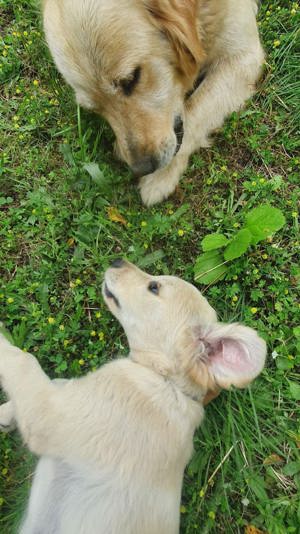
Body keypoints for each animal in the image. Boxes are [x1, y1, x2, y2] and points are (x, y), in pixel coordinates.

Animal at [0, 262, 266, 534]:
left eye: (154, 287)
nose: (117, 260)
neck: (165, 381)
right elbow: (56, 380)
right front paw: (5, 414)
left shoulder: (48, 415)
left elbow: (23, 360)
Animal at [42, 0, 264, 205]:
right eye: (94, 108)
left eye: (131, 79)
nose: (142, 168)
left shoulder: (243, 57)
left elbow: (195, 111)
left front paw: (160, 177)